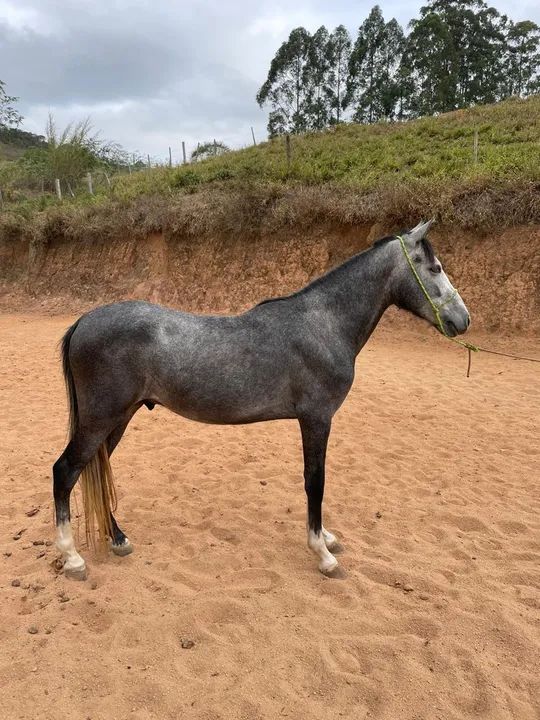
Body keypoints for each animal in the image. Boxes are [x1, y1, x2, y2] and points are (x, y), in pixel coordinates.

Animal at [53, 219, 470, 580]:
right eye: (435, 268)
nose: (462, 320)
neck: (323, 324)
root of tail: (83, 321)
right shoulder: (316, 419)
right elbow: (315, 481)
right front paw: (323, 553)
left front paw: (328, 538)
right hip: (101, 419)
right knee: (65, 471)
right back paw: (72, 558)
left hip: (118, 418)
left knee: (97, 471)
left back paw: (118, 539)